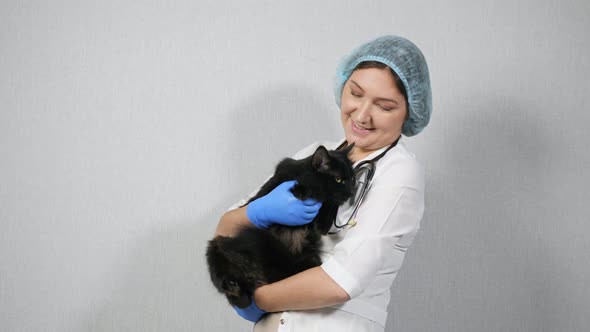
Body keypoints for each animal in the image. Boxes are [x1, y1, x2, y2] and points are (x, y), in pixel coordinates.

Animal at [208, 145, 356, 308]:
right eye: (338, 179)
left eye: (353, 178)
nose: (351, 191)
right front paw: (300, 192)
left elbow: (330, 204)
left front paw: (323, 220)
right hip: (216, 245)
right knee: (228, 287)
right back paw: (234, 286)